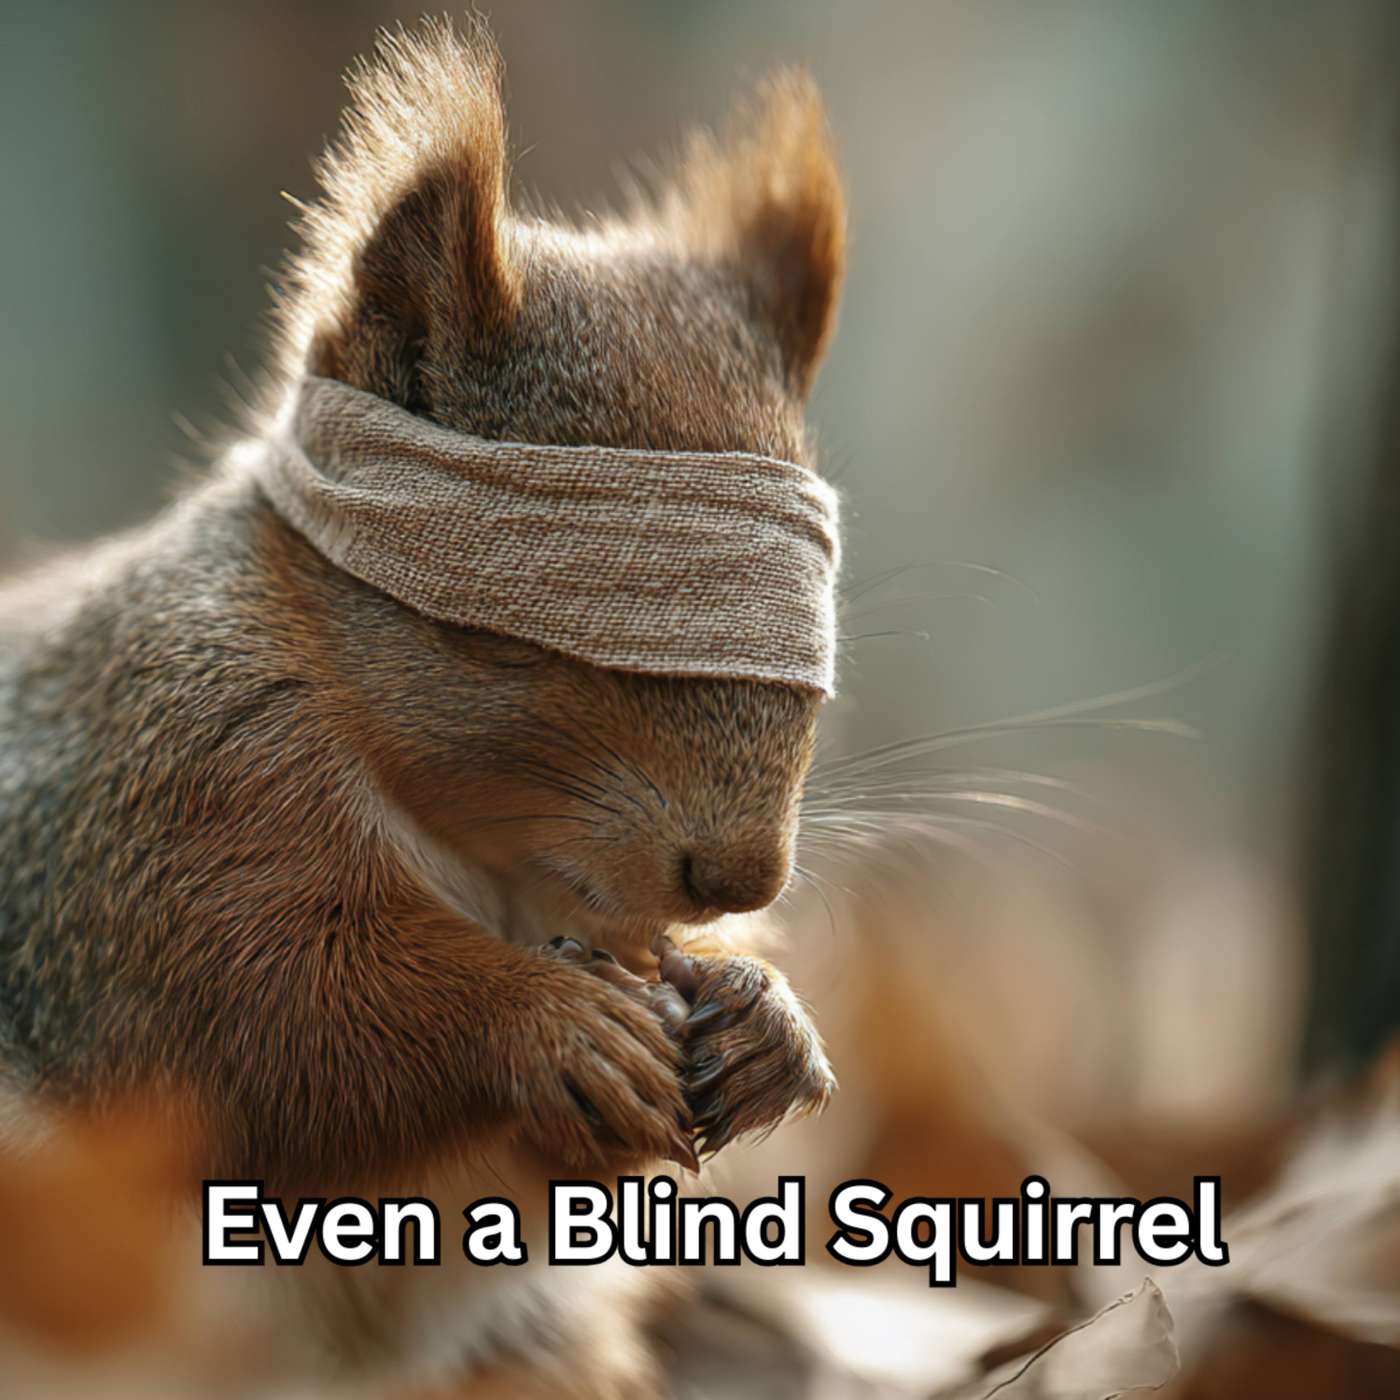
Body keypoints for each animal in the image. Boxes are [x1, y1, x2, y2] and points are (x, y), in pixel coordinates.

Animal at [0, 16, 843, 1394]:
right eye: (513, 635)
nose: (738, 880)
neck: (492, 854)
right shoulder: (167, 799)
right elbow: (274, 1009)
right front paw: (548, 1025)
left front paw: (767, 1020)